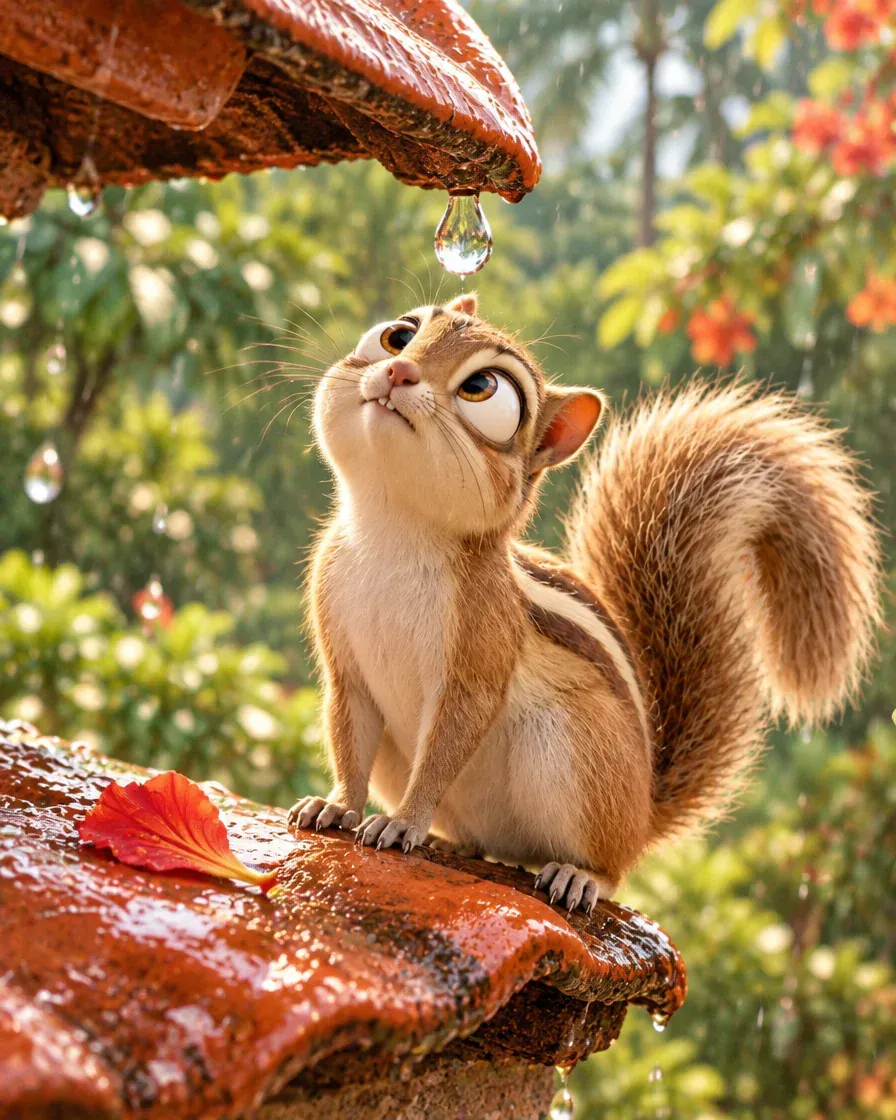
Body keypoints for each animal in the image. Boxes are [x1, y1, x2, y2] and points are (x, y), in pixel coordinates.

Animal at [288, 293, 882, 913]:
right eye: (399, 336)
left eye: (483, 389)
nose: (400, 370)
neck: (394, 530)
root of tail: (642, 814)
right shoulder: (345, 663)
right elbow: (347, 735)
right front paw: (336, 805)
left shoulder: (479, 647)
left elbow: (447, 745)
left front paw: (404, 821)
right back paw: (455, 844)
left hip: (575, 752)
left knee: (611, 868)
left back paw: (578, 875)